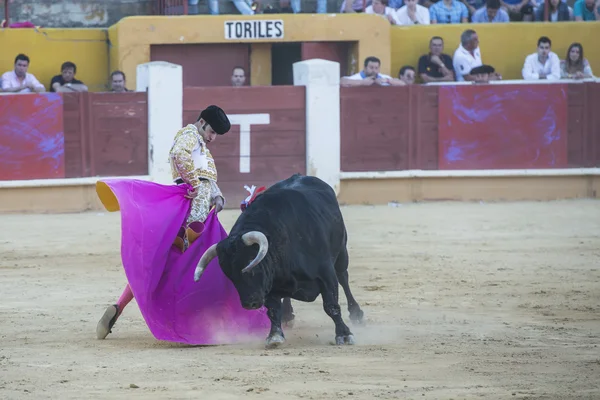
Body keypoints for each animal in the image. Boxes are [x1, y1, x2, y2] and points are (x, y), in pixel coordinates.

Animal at [195, 174, 364, 346]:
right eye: (231, 276)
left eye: (251, 267)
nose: (250, 304)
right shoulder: (270, 285)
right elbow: (273, 310)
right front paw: (275, 336)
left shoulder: (326, 273)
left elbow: (331, 305)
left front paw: (344, 334)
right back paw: (288, 315)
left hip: (341, 252)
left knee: (343, 277)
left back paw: (356, 313)